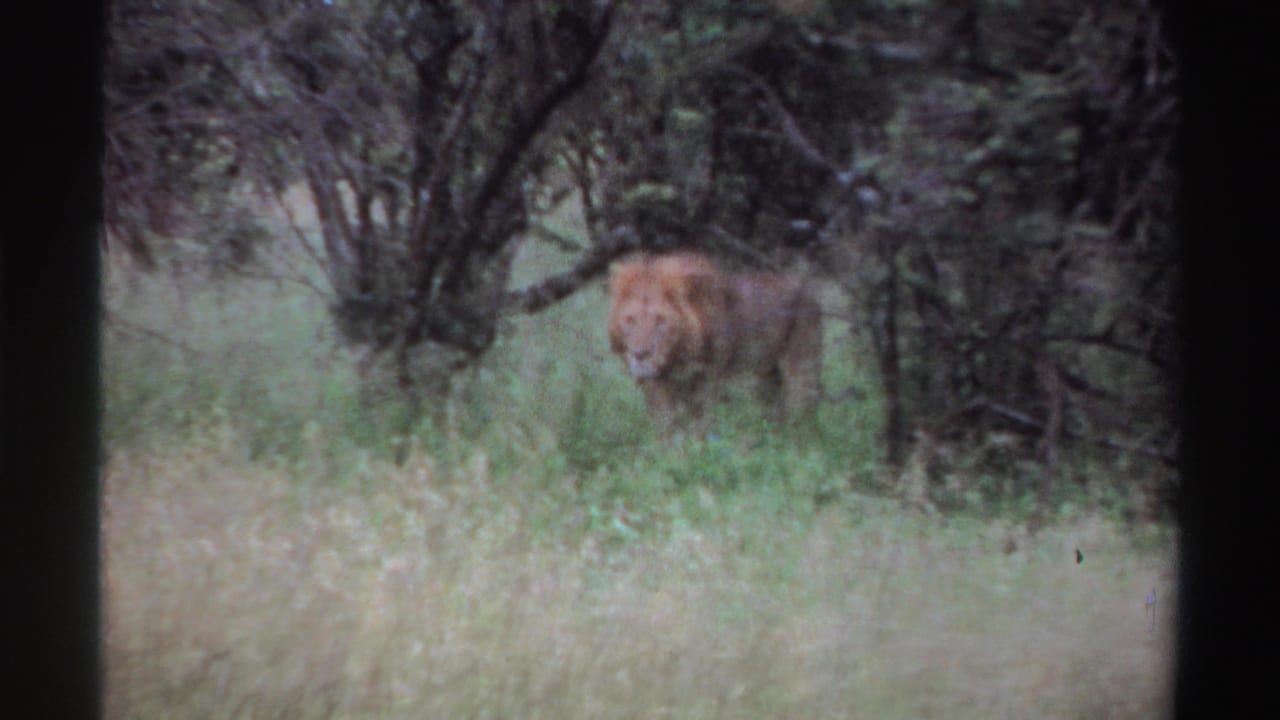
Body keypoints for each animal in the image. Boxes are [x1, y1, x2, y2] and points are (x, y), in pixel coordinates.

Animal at [608, 250, 822, 432]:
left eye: (660, 320)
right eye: (630, 320)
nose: (640, 355)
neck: (676, 356)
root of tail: (809, 292)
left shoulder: (707, 381)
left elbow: (699, 428)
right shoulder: (656, 386)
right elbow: (668, 427)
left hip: (802, 368)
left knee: (805, 412)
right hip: (767, 376)